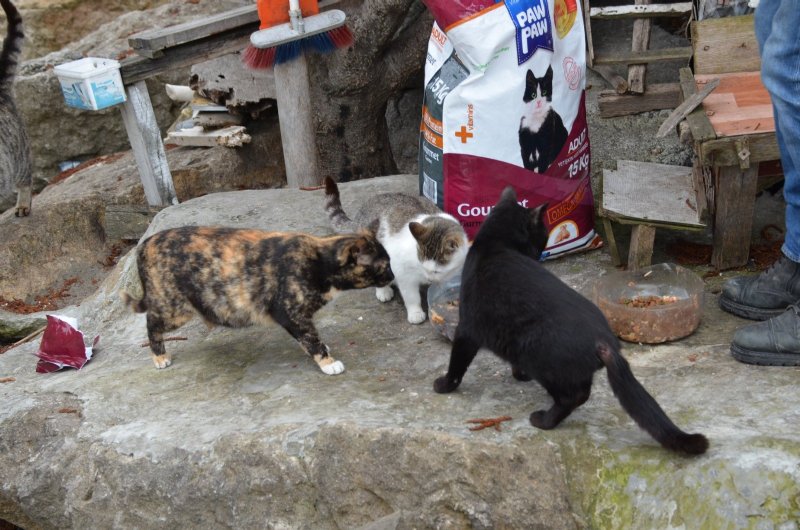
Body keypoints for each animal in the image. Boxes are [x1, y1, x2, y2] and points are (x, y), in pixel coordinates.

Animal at [122, 225, 394, 374]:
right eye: (383, 266)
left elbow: (308, 337)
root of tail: (145, 243)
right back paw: (160, 357)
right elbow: (309, 336)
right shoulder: (290, 312)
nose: (393, 276)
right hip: (174, 308)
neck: (318, 260)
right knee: (151, 322)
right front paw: (327, 362)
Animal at [324, 176, 468, 322]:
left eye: (437, 271)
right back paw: (383, 290)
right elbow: (411, 296)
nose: (429, 279)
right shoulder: (403, 272)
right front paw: (415, 312)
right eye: (423, 266)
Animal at [434, 187, 708, 454]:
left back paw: (544, 420)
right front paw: (519, 375)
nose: (541, 253)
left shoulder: (467, 329)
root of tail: (604, 340)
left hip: (539, 358)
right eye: (542, 236)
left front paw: (445, 385)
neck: (494, 245)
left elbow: (457, 364)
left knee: (574, 397)